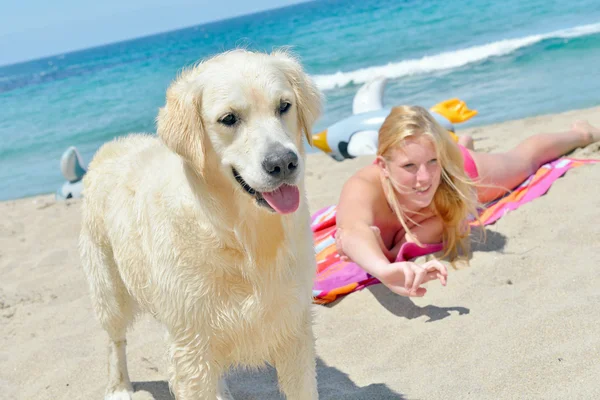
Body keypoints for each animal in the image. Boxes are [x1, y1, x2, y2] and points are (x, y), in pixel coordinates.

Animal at [81, 50, 324, 400]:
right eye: (229, 119)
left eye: (284, 105)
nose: (283, 163)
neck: (241, 237)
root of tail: (113, 145)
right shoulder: (190, 348)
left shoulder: (294, 328)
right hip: (109, 288)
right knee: (115, 339)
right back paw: (119, 387)